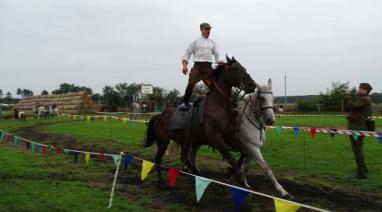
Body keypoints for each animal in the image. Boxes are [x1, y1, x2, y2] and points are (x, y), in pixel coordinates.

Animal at [145, 56, 255, 186]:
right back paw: (161, 182)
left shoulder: (228, 136)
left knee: (185, 159)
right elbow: (231, 158)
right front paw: (240, 180)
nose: (252, 85)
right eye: (236, 69)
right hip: (163, 141)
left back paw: (199, 174)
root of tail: (160, 115)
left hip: (184, 141)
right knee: (158, 158)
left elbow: (243, 153)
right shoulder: (216, 139)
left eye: (244, 68)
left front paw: (230, 173)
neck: (217, 106)